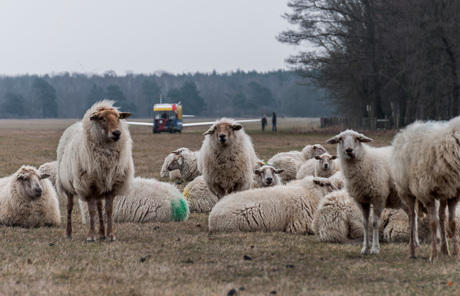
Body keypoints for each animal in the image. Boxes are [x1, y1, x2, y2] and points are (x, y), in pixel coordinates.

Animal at [56, 100, 135, 242]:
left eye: (118, 118)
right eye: (102, 118)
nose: (117, 133)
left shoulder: (110, 185)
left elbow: (108, 210)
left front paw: (110, 235)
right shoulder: (88, 186)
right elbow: (91, 211)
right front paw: (91, 236)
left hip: (99, 184)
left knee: (99, 207)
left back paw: (102, 233)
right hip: (67, 184)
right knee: (70, 207)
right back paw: (69, 233)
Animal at [390, 118, 460, 262]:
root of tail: (405, 130)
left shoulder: (453, 193)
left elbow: (452, 222)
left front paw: (457, 254)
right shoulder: (426, 193)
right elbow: (433, 223)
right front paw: (433, 255)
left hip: (443, 192)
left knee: (442, 215)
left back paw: (445, 250)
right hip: (406, 190)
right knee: (412, 216)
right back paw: (412, 251)